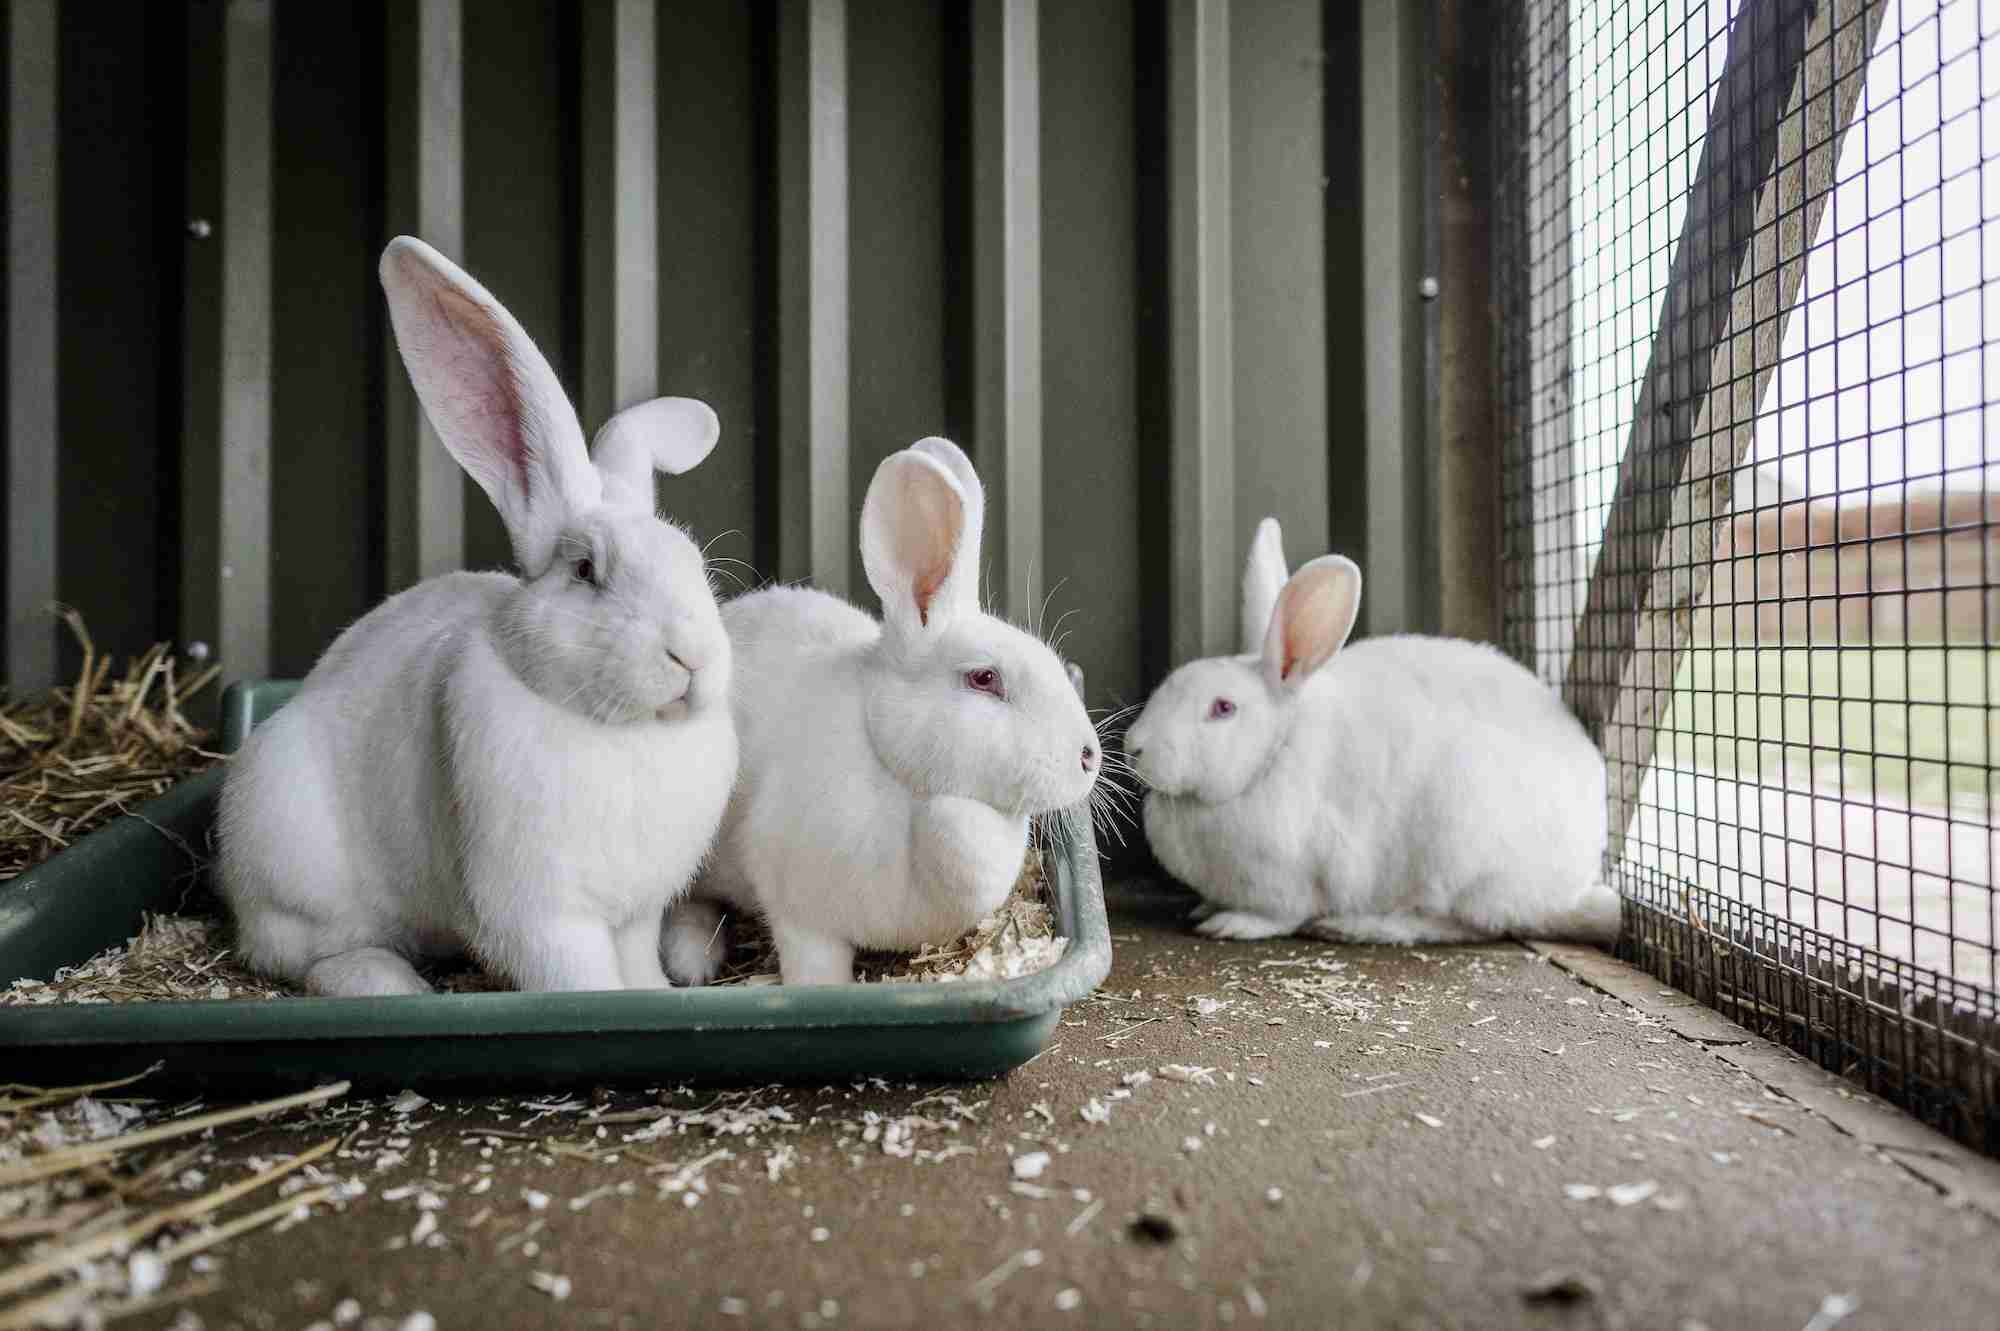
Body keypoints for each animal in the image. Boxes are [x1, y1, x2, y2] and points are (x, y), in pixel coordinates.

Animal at [216, 236, 738, 997]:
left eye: (694, 562)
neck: (620, 731)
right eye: (586, 571)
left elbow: (636, 961)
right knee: (307, 955)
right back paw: (390, 984)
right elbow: (581, 980)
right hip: (296, 876)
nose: (691, 657)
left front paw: (656, 994)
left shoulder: (635, 912)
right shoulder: (541, 915)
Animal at [659, 437, 1102, 986]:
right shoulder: (803, 915)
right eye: (984, 679)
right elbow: (814, 968)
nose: (1090, 757)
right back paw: (691, 958)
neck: (909, 785)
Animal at [1124, 516, 1619, 947]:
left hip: (1459, 858)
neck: (1273, 754)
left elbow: (1278, 915)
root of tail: (1571, 883)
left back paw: (1355, 927)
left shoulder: (1289, 880)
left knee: (1460, 924)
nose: (1134, 747)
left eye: (1223, 708)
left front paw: (1230, 924)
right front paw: (1205, 908)